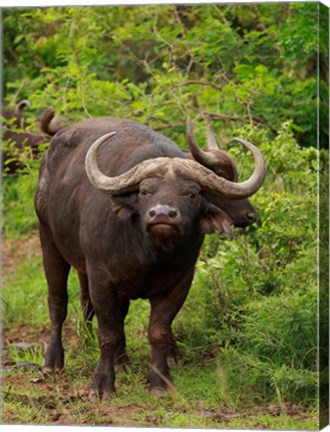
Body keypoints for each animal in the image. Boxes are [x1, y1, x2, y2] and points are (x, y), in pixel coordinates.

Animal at [34, 114, 266, 398]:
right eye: (145, 191)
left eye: (192, 193)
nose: (163, 214)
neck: (150, 253)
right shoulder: (101, 278)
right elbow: (108, 332)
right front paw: (101, 385)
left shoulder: (180, 282)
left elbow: (158, 331)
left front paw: (159, 380)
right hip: (48, 238)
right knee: (58, 302)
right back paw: (53, 362)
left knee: (98, 307)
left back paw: (120, 361)